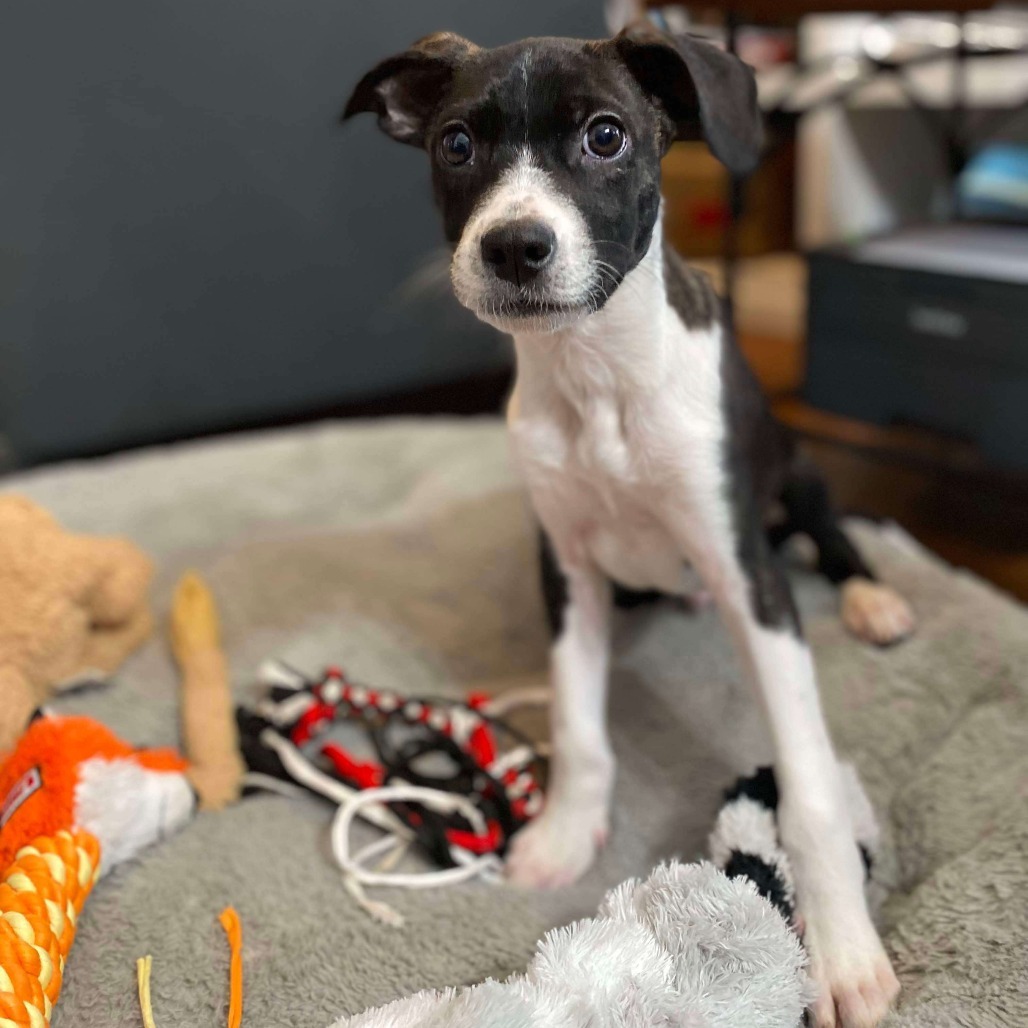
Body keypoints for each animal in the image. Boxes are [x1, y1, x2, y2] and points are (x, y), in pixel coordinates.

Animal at [347, 26, 916, 1028]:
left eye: (605, 136)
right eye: (456, 144)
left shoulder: (749, 575)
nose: (514, 246)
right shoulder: (567, 569)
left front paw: (843, 948)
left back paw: (873, 600)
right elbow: (579, 725)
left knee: (834, 534)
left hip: (799, 474)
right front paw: (563, 833)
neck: (596, 378)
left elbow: (808, 783)